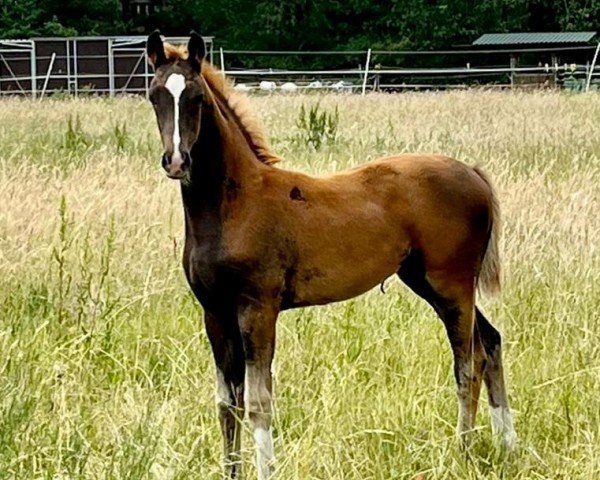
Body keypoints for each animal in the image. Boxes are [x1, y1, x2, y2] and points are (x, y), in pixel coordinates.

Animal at [145, 31, 516, 478]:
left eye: (196, 97)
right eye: (153, 95)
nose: (176, 160)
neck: (236, 204)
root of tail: (473, 173)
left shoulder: (257, 309)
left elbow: (258, 402)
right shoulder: (214, 312)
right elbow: (226, 403)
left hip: (451, 284)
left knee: (468, 361)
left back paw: (463, 452)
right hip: (430, 282)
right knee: (491, 342)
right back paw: (508, 445)